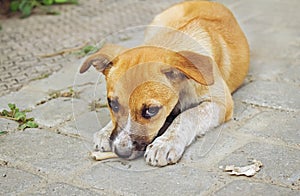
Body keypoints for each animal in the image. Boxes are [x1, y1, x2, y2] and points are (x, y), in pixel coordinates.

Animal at [79, 1, 248, 167]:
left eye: (151, 110)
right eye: (112, 104)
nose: (122, 152)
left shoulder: (221, 103)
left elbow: (187, 115)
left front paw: (165, 143)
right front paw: (105, 131)